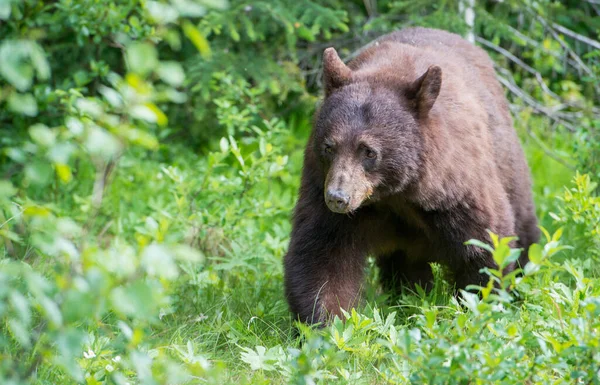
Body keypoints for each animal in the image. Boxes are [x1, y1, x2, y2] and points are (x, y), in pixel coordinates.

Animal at [284, 25, 540, 322]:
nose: (338, 197)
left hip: (508, 162)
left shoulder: (456, 190)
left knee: (524, 226)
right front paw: (328, 322)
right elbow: (322, 254)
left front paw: (477, 306)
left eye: (368, 151)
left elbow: (484, 247)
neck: (396, 194)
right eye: (329, 146)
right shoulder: (321, 183)